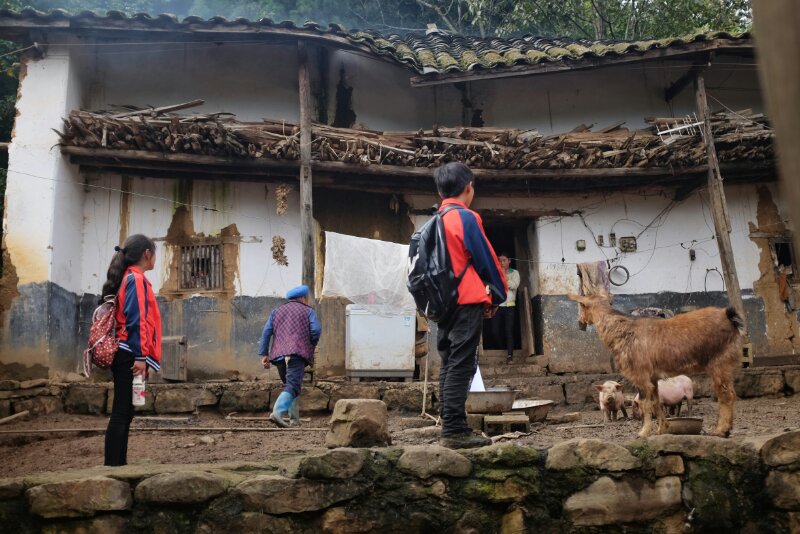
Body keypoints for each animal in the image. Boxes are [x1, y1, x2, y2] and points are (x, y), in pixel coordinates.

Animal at [567, 293, 744, 438]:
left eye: (581, 305)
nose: (580, 322)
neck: (623, 331)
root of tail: (729, 317)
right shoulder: (652, 378)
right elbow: (656, 403)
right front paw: (662, 429)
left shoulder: (640, 375)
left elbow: (645, 404)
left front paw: (643, 432)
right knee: (730, 393)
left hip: (720, 362)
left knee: (726, 396)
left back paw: (721, 431)